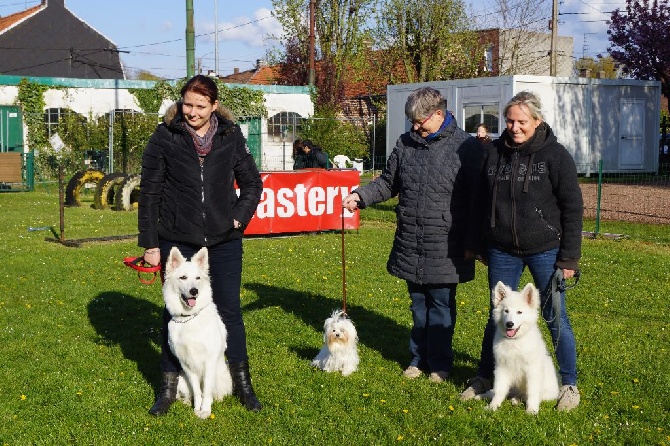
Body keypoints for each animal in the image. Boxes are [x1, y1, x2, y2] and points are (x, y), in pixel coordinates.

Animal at [163, 247, 234, 418]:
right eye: (183, 277)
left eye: (198, 278)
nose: (194, 291)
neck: (189, 318)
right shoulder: (186, 364)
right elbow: (197, 391)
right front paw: (197, 408)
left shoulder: (209, 361)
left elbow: (206, 389)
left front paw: (205, 410)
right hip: (181, 380)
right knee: (184, 394)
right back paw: (186, 402)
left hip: (223, 375)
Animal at [478, 282, 560, 414]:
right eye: (506, 311)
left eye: (519, 312)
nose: (509, 324)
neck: (514, 341)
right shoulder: (502, 367)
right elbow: (499, 390)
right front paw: (493, 406)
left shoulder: (532, 370)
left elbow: (532, 391)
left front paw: (532, 410)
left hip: (547, 393)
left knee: (529, 395)